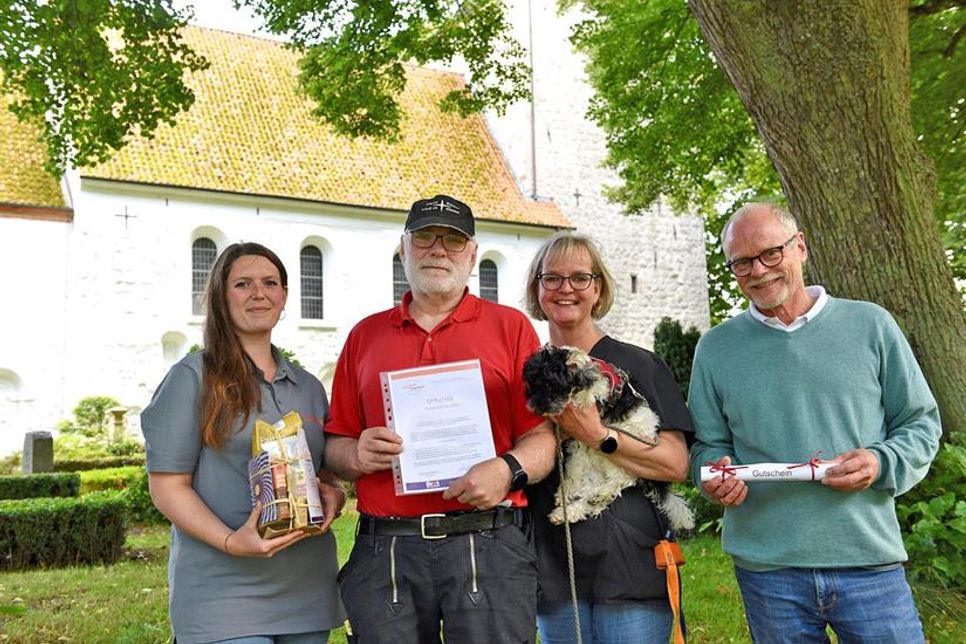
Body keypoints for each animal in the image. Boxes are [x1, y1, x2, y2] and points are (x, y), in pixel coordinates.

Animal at [520, 344, 696, 532]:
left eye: (551, 384)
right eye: (532, 385)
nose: (535, 407)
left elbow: (590, 392)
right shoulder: (578, 444)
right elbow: (573, 469)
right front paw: (565, 492)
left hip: (621, 452)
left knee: (622, 480)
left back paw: (600, 494)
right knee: (591, 497)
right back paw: (569, 511)